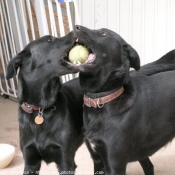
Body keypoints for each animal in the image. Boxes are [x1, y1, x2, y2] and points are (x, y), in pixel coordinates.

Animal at [61, 25, 175, 175]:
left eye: (103, 33)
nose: (75, 27)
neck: (103, 98)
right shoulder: (97, 160)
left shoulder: (115, 164)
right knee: (149, 166)